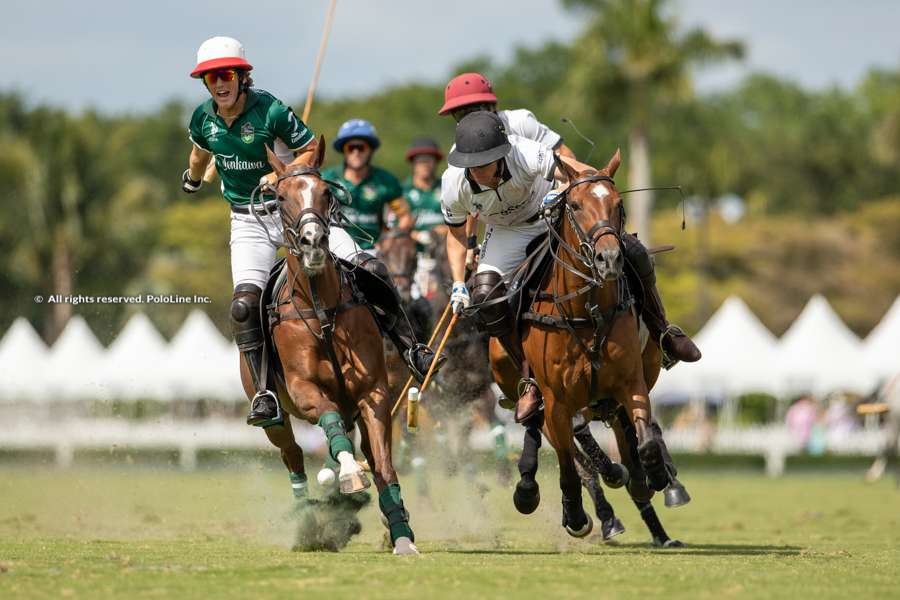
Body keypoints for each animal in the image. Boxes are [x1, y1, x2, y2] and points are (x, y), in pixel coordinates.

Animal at [239, 139, 422, 552]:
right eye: (280, 197)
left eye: (325, 192)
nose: (312, 243)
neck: (321, 310)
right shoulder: (304, 390)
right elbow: (330, 422)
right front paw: (350, 475)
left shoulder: (374, 393)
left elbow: (384, 464)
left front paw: (402, 535)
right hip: (274, 415)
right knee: (292, 453)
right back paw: (307, 518)